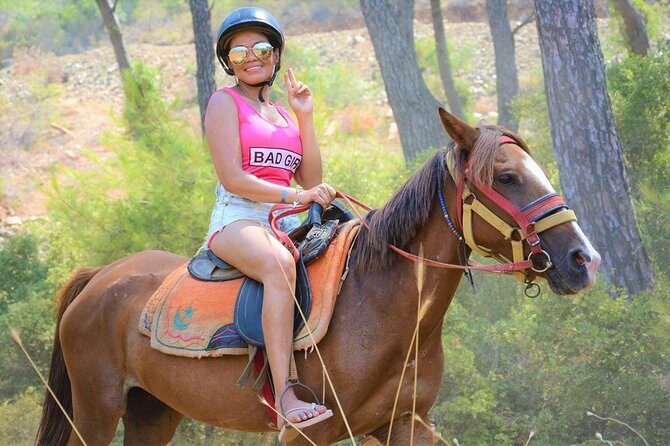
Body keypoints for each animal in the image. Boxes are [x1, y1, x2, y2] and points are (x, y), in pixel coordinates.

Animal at [35, 109, 600, 445]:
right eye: (506, 177)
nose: (582, 259)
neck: (380, 309)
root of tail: (100, 277)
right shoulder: (307, 436)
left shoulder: (406, 424)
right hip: (97, 409)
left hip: (153, 411)